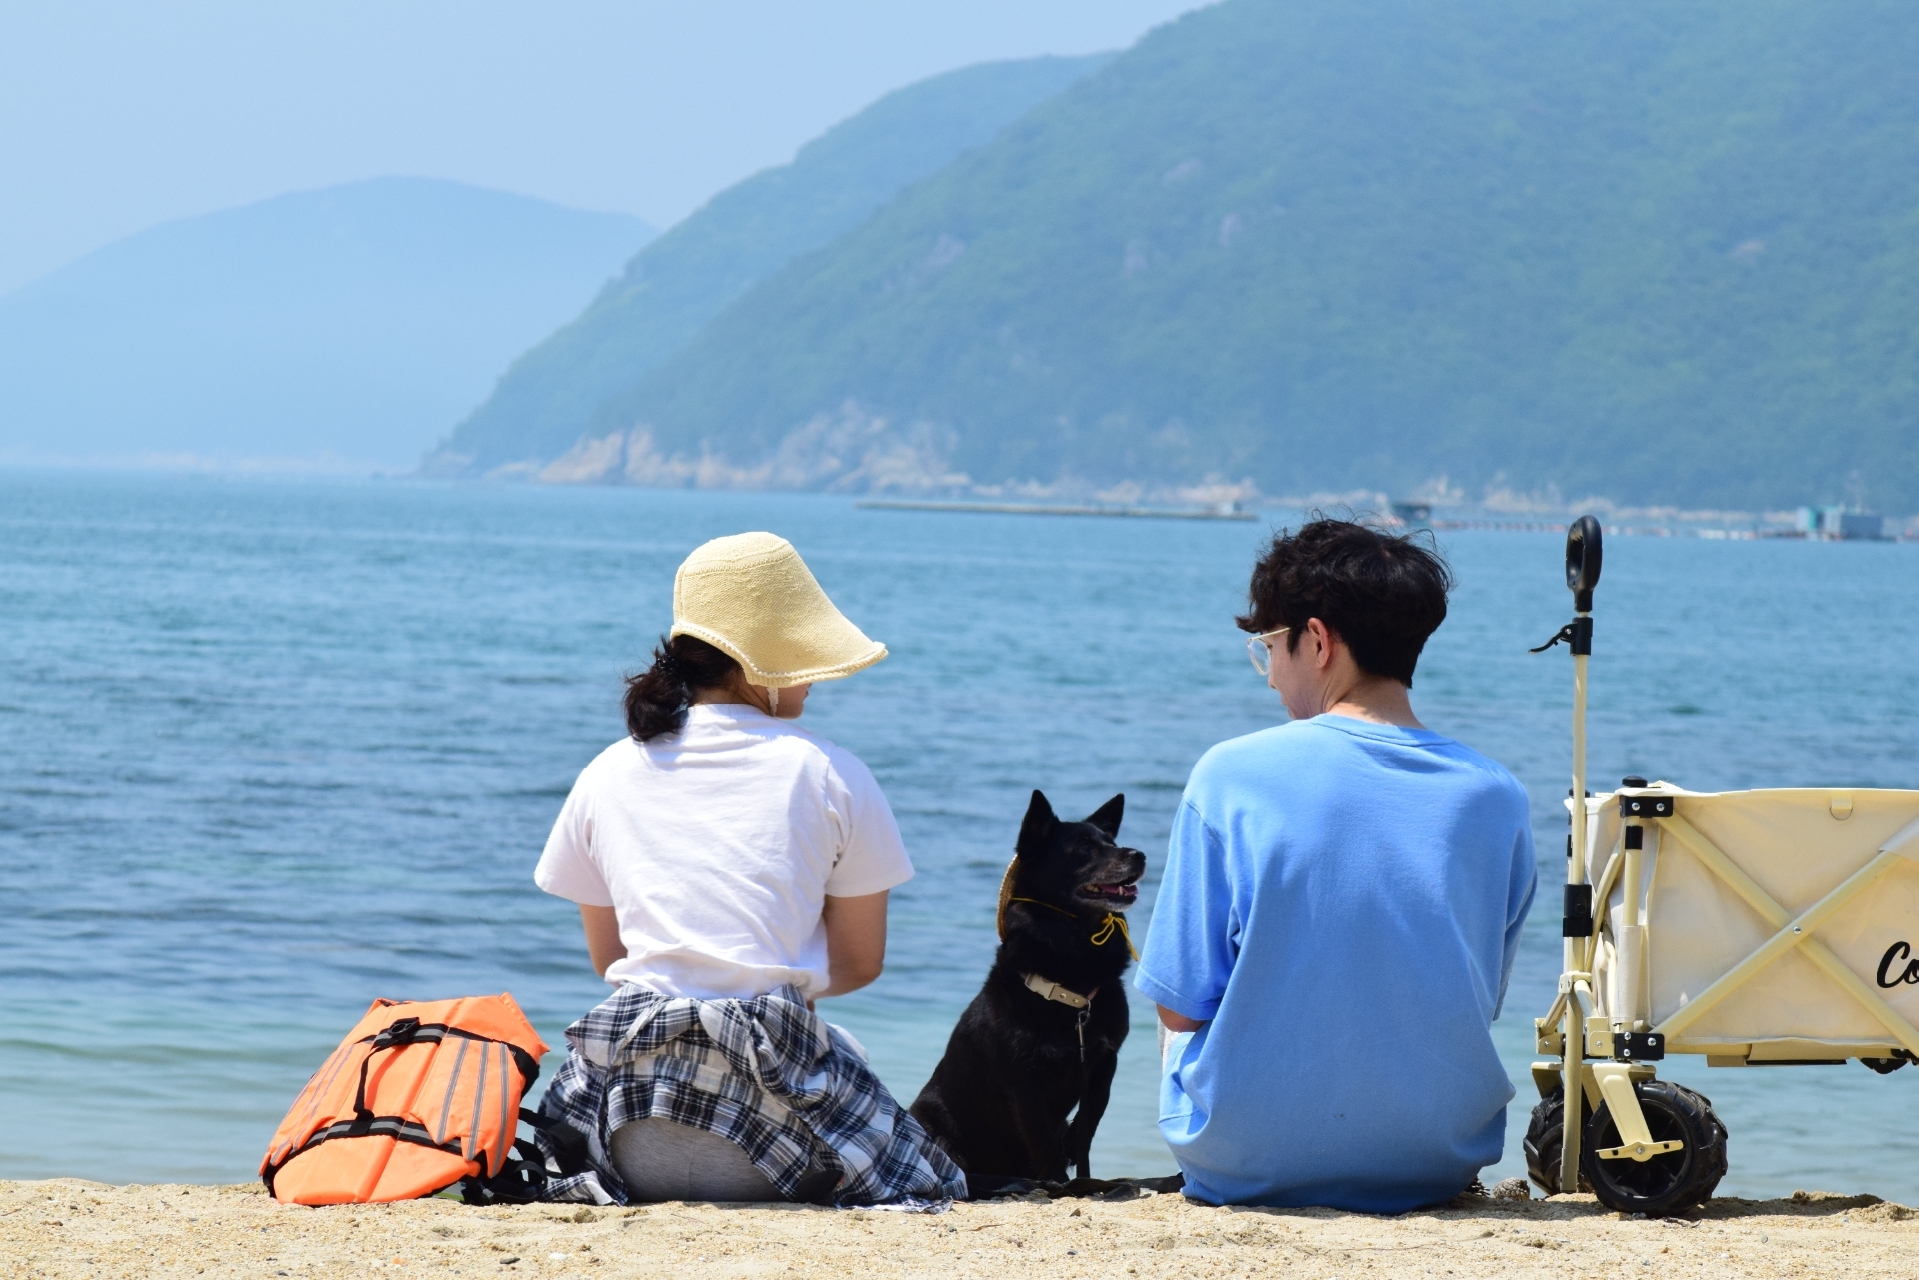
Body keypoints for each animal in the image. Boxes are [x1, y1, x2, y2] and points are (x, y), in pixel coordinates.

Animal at [909, 786, 1143, 1189]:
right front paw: (1061, 1186)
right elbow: (1044, 1142)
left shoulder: (1103, 1065)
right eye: (1082, 847)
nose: (1139, 855)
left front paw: (1082, 1175)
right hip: (931, 1123)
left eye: (1111, 842)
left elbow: (1086, 1128)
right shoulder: (1024, 1080)